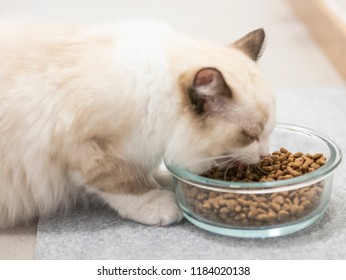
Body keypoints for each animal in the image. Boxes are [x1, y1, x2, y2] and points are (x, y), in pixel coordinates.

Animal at [0, 20, 276, 230]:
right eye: (250, 135)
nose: (264, 154)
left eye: (268, 132)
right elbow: (125, 181)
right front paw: (158, 202)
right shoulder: (87, 147)